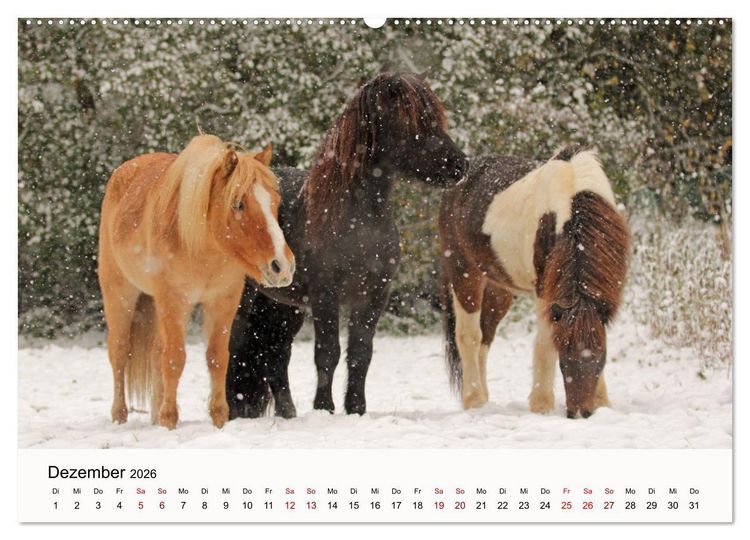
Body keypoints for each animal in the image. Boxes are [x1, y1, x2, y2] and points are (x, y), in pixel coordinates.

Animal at [97, 134, 295, 429]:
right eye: (238, 203)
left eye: (275, 202)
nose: (282, 266)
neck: (202, 247)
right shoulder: (174, 301)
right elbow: (175, 359)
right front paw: (170, 420)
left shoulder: (222, 303)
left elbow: (217, 358)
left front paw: (219, 419)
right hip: (120, 295)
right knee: (120, 352)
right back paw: (120, 416)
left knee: (155, 353)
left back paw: (154, 417)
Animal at [226, 72, 469, 419]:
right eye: (410, 121)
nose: (460, 166)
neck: (358, 225)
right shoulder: (325, 295)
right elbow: (327, 352)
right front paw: (324, 409)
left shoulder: (373, 296)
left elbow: (360, 353)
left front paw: (356, 408)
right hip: (246, 299)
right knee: (236, 347)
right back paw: (234, 412)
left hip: (282, 305)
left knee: (275, 356)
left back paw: (288, 414)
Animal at [439, 148, 630, 418]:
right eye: (564, 355)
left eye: (600, 357)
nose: (579, 414)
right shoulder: (545, 291)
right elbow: (544, 343)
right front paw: (542, 405)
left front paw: (602, 402)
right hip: (464, 273)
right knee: (469, 337)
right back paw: (473, 400)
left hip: (498, 289)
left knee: (485, 338)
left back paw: (484, 400)